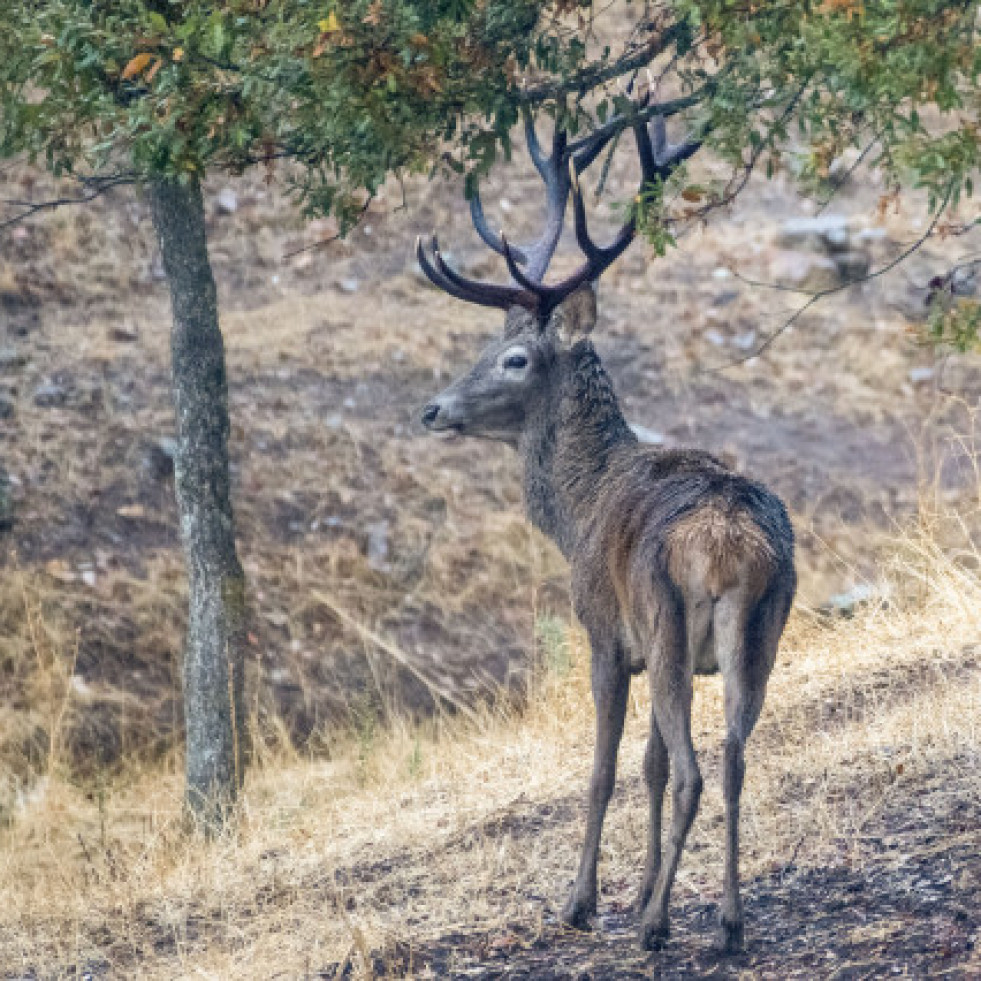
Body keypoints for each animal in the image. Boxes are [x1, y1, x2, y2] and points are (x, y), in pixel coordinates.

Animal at [416, 103, 796, 952]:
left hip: (663, 617)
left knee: (693, 768)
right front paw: (643, 887)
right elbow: (648, 765)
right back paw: (727, 920)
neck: (577, 508)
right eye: (485, 345)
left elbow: (602, 769)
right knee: (731, 757)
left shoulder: (604, 632)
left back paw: (656, 926)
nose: (431, 408)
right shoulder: (668, 651)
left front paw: (585, 900)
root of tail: (727, 544)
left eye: (514, 358)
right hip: (759, 628)